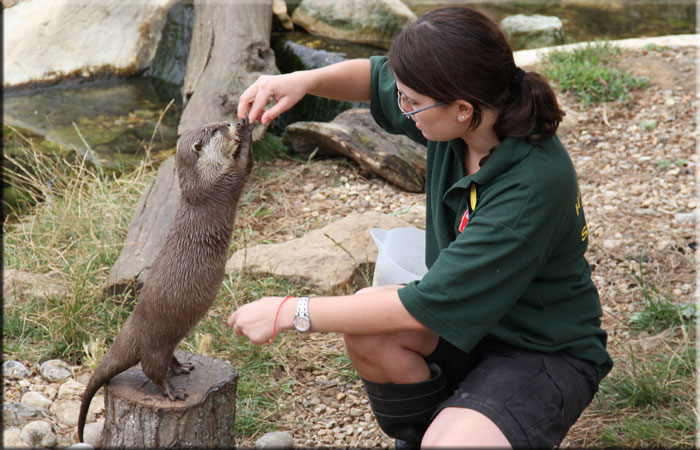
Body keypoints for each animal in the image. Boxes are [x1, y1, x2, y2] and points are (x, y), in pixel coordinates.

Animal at [77, 119, 255, 442]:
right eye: (214, 130)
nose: (230, 122)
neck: (199, 186)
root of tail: (131, 327)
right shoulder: (222, 184)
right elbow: (244, 166)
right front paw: (246, 131)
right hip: (155, 342)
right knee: (152, 370)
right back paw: (172, 392)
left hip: (169, 337)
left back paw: (182, 367)